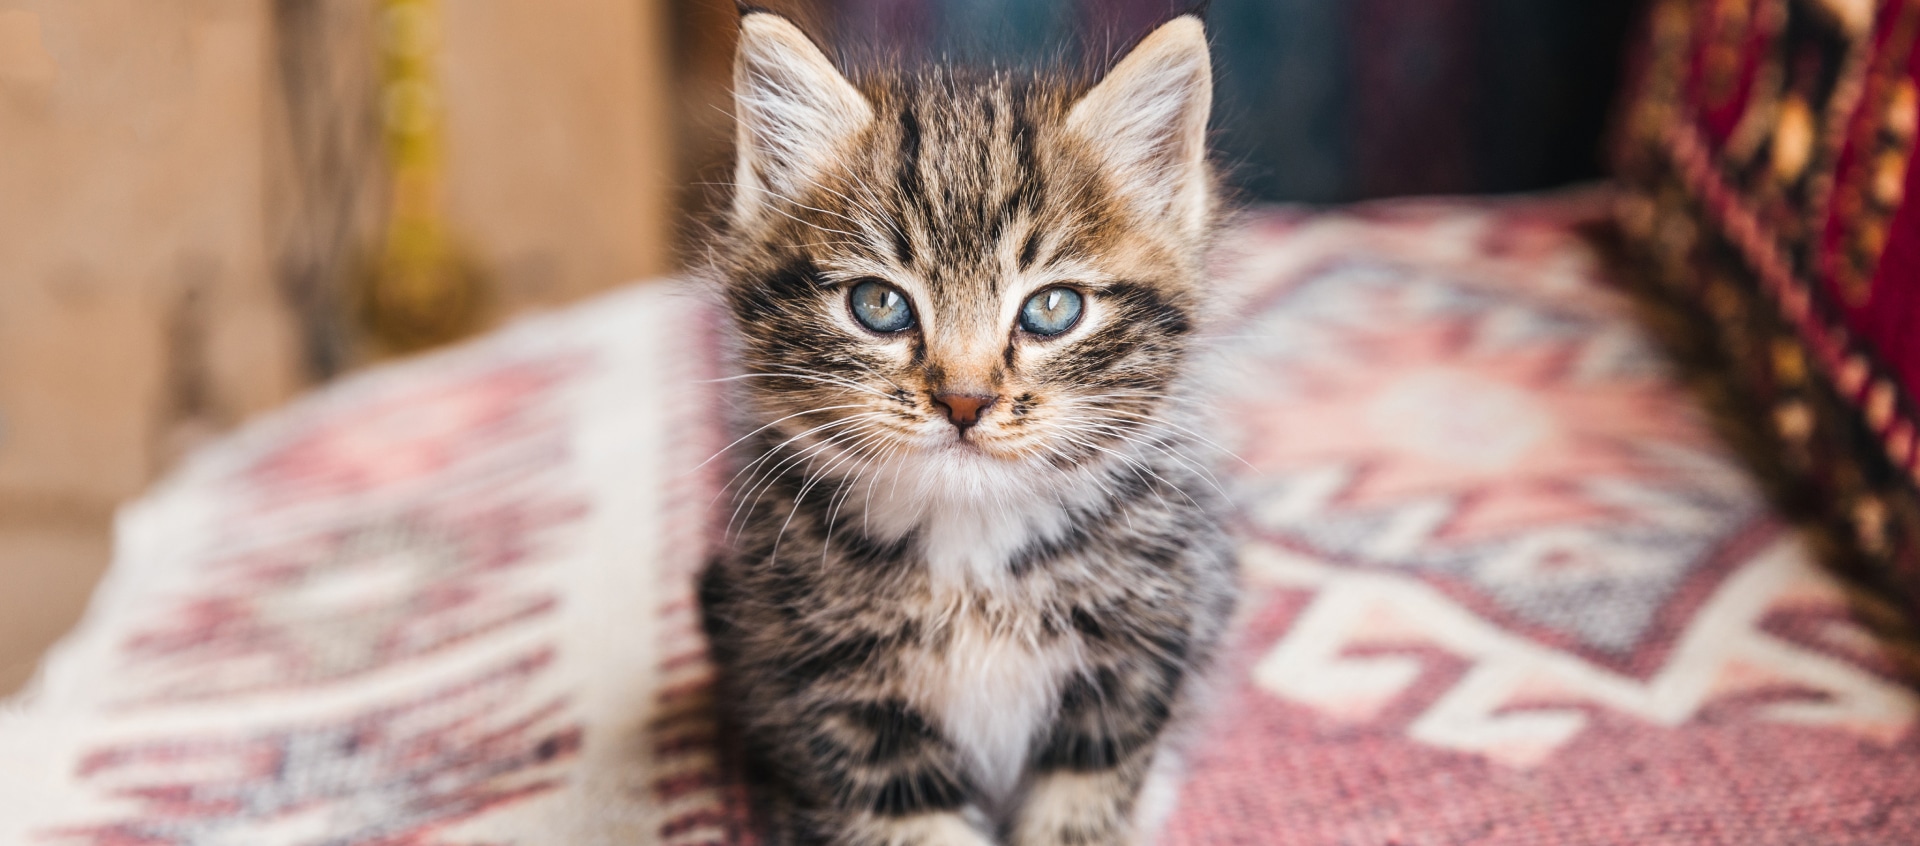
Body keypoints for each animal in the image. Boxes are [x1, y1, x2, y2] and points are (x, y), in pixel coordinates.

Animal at [702, 13, 1228, 844]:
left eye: (1053, 308)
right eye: (879, 304)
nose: (964, 399)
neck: (973, 546)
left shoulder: (1134, 659)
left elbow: (1083, 806)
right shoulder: (838, 699)